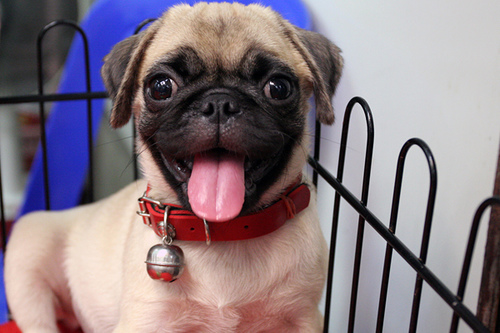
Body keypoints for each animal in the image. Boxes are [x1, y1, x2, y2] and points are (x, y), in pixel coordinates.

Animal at [3, 3, 342, 332]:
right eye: (161, 87)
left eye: (279, 87)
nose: (219, 102)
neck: (223, 232)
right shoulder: (144, 320)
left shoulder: (305, 319)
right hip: (29, 261)